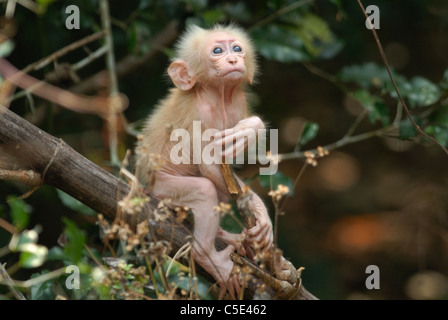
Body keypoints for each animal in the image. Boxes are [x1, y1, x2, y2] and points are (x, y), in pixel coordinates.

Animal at [135, 24, 272, 298]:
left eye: (237, 48)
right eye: (217, 51)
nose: (233, 59)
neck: (220, 97)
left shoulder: (237, 103)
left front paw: (261, 216)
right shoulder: (203, 114)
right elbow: (208, 166)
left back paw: (226, 236)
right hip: (161, 188)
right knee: (204, 189)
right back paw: (209, 258)